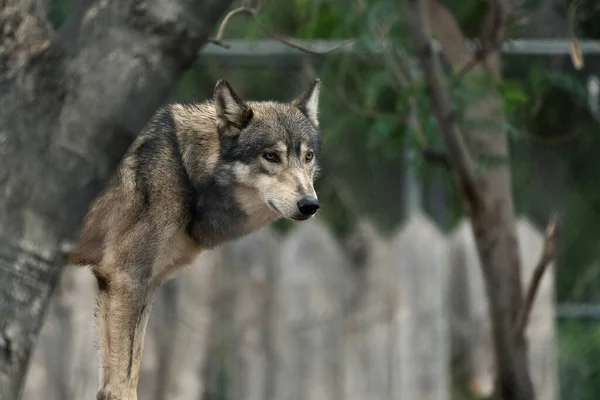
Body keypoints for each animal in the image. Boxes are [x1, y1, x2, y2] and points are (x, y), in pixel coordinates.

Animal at [68, 78, 324, 400]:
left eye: (308, 156)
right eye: (271, 156)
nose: (310, 205)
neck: (185, 170)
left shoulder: (143, 286)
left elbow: (129, 373)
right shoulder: (125, 279)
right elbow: (122, 385)